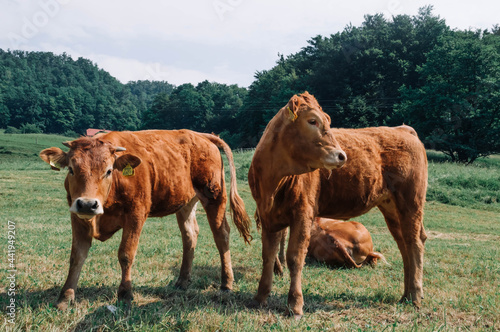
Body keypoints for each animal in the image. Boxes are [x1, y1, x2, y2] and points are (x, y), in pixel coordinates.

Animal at [39, 129, 252, 308]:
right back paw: (182, 281)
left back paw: (226, 283)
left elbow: (126, 254)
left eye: (108, 170)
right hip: (186, 202)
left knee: (221, 235)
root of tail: (201, 135)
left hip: (214, 196)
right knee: (190, 235)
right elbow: (77, 256)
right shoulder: (78, 217)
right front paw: (65, 297)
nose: (87, 204)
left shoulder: (136, 214)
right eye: (71, 169)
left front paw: (125, 295)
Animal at [248, 92, 428, 318]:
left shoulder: (303, 214)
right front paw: (260, 297)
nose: (342, 155)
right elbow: (268, 256)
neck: (273, 183)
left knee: (415, 244)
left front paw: (295, 304)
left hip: (411, 202)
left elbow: (295, 257)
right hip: (392, 209)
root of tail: (402, 129)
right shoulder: (268, 216)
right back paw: (406, 295)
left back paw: (416, 296)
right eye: (312, 121)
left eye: (328, 121)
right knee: (404, 245)